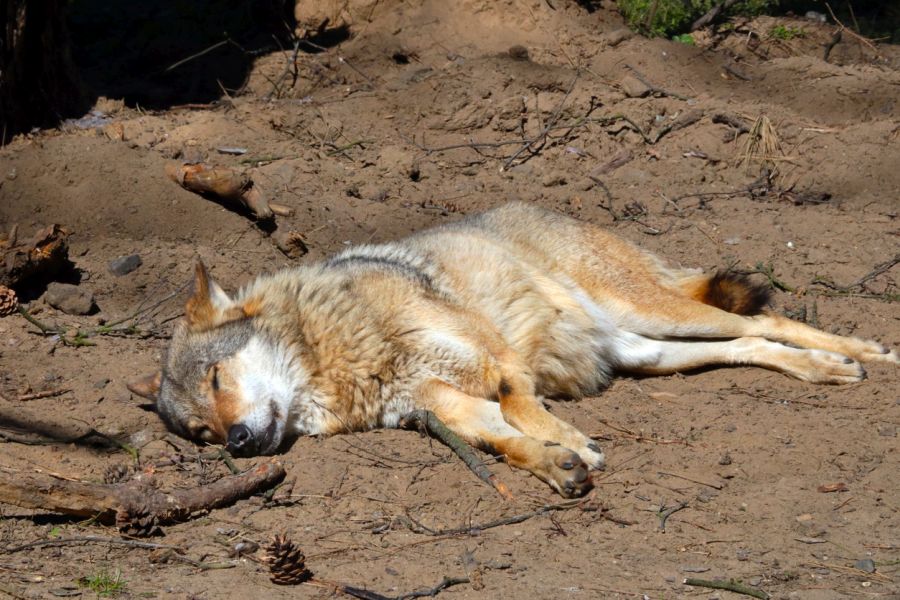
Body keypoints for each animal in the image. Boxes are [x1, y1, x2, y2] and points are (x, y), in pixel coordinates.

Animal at [130, 202, 896, 496]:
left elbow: (519, 404)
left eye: (219, 377)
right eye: (200, 432)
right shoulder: (435, 405)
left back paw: (863, 354)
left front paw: (572, 443)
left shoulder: (494, 359)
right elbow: (503, 440)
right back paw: (825, 370)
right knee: (752, 342)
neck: (340, 355)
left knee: (777, 322)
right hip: (649, 352)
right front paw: (559, 463)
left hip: (656, 312)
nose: (236, 443)